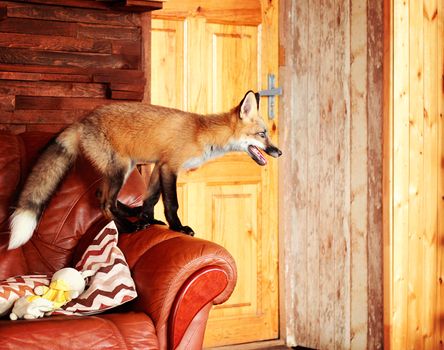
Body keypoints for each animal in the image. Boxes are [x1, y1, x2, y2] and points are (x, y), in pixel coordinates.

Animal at [7, 90, 280, 249]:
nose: (278, 152)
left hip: (120, 170)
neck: (203, 135)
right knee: (105, 203)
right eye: (262, 134)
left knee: (102, 196)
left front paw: (149, 218)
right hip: (120, 169)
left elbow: (151, 198)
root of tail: (81, 121)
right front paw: (178, 228)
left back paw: (132, 215)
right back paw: (128, 227)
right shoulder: (170, 166)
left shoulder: (158, 166)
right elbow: (171, 203)